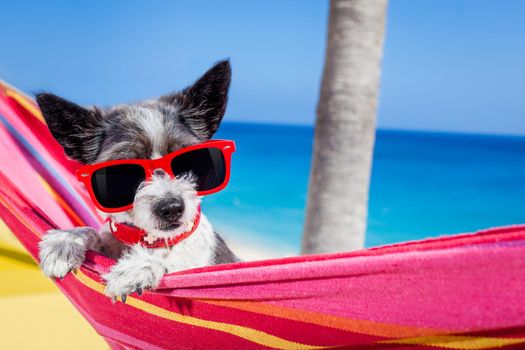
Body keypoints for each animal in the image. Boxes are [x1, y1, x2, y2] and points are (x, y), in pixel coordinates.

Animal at [37, 60, 238, 300]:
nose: (171, 207)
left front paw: (141, 266)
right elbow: (94, 231)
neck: (153, 241)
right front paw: (66, 240)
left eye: (190, 160)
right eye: (122, 173)